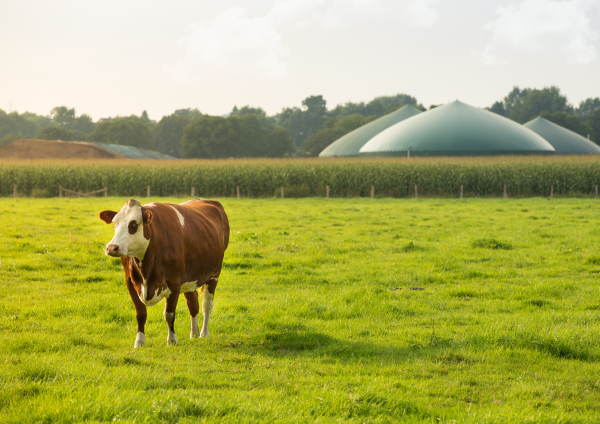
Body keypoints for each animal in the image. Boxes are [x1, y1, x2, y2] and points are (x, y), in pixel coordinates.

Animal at [98, 199, 230, 348]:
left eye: (134, 224)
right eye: (114, 224)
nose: (111, 248)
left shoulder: (175, 282)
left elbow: (169, 314)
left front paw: (172, 340)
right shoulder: (130, 281)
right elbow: (140, 314)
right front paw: (139, 342)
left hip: (214, 273)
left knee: (207, 304)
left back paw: (204, 333)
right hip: (189, 278)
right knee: (193, 303)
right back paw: (194, 334)